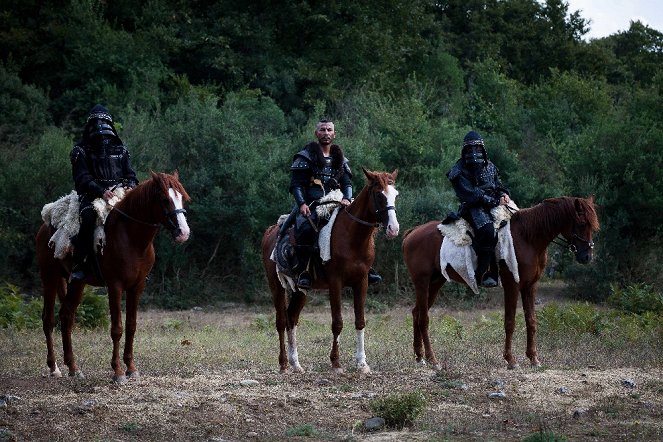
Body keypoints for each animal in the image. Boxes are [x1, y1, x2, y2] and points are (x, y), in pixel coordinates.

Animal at [36, 173, 191, 384]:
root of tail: (46, 225)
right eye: (164, 199)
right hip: (49, 278)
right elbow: (117, 329)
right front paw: (117, 372)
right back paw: (54, 367)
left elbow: (131, 325)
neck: (130, 237)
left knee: (66, 316)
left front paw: (131, 368)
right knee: (48, 319)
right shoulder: (115, 286)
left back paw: (73, 368)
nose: (183, 233)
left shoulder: (136, 287)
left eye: (181, 197)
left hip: (77, 283)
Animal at [262, 168, 402, 372]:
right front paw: (336, 362)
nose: (393, 229)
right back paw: (283, 364)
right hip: (276, 286)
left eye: (395, 195)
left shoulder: (362, 282)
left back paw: (296, 364)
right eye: (378, 194)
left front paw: (362, 363)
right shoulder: (335, 283)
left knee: (291, 319)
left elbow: (360, 321)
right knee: (281, 321)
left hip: (300, 290)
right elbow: (337, 323)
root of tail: (271, 232)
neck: (352, 237)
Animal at [402, 197, 600, 370]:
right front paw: (511, 360)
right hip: (422, 281)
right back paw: (433, 359)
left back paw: (419, 356)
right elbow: (510, 321)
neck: (528, 236)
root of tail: (413, 232)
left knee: (417, 313)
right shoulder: (512, 284)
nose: (587, 257)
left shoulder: (530, 286)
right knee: (423, 318)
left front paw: (533, 358)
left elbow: (531, 321)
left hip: (436, 282)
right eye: (582, 224)